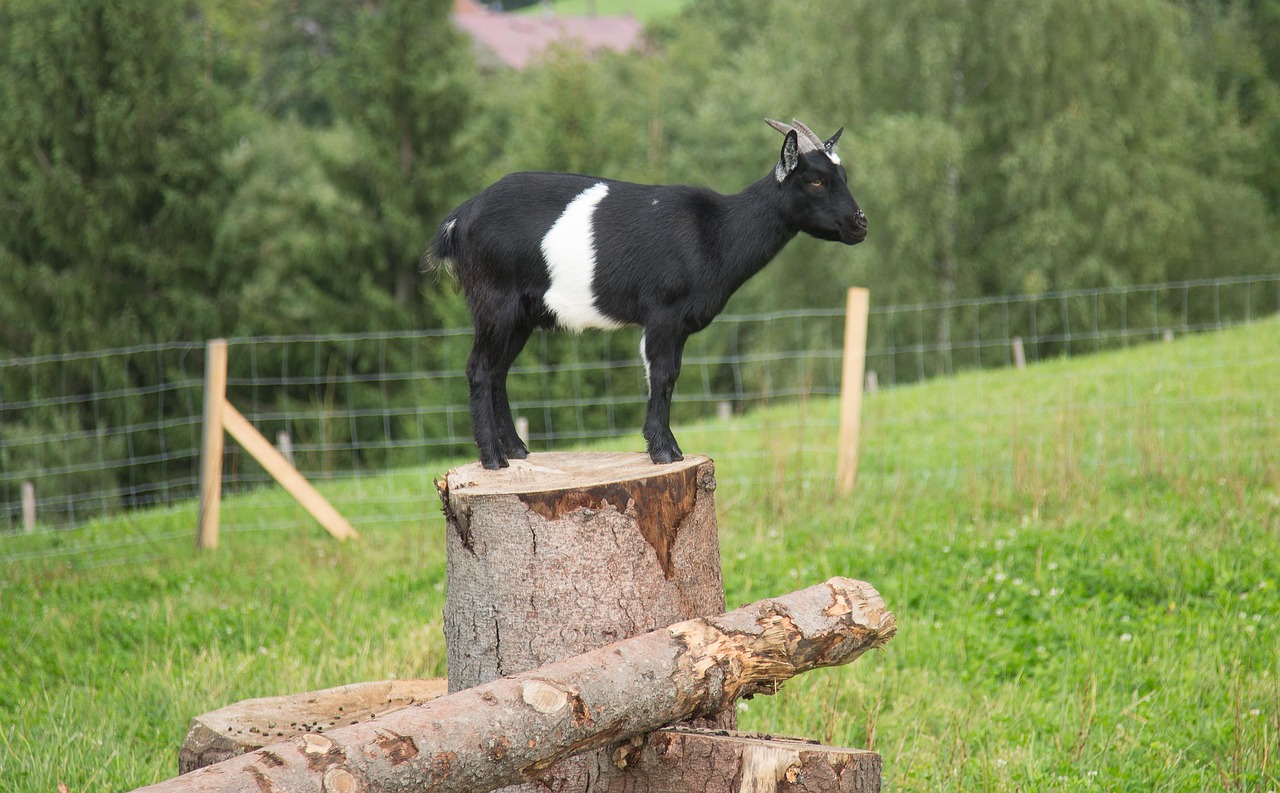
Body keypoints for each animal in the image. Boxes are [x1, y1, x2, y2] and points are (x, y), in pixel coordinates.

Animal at [432, 117, 870, 470]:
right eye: (815, 180)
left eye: (845, 176)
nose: (859, 224)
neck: (715, 231)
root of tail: (460, 218)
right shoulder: (663, 313)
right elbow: (662, 374)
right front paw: (664, 451)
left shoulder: (677, 323)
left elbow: (669, 375)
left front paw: (668, 447)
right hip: (494, 299)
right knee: (480, 369)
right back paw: (493, 459)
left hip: (522, 314)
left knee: (499, 372)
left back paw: (518, 450)